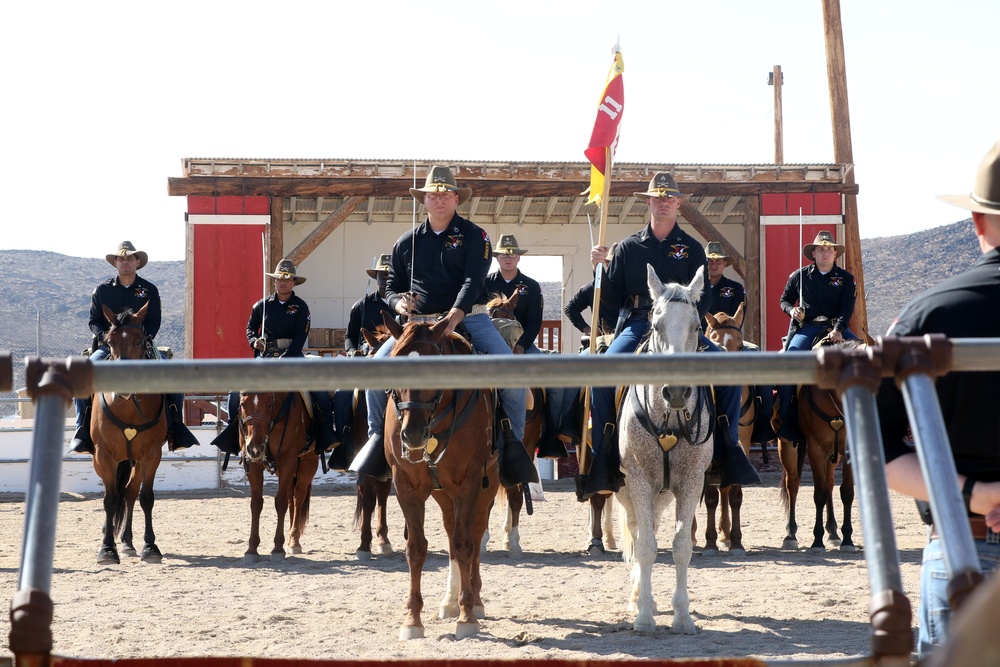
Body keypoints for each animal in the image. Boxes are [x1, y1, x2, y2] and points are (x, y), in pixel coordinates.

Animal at [91, 306, 168, 568]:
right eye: (109, 342)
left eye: (139, 341)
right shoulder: (103, 456)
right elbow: (109, 500)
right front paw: (107, 549)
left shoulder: (152, 455)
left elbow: (146, 497)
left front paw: (150, 546)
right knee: (117, 494)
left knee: (130, 492)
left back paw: (127, 542)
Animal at [238, 392, 316, 564]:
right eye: (243, 404)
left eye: (269, 405)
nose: (255, 448)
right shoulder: (252, 462)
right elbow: (256, 504)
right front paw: (252, 549)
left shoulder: (288, 460)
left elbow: (280, 503)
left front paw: (278, 548)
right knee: (291, 497)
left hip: (308, 461)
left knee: (298, 496)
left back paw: (294, 541)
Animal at [380, 316, 498, 640]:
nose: (412, 434)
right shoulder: (406, 486)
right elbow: (416, 548)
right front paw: (412, 620)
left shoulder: (470, 483)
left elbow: (465, 544)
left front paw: (468, 616)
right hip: (443, 494)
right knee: (450, 532)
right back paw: (449, 602)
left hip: (487, 486)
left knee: (473, 534)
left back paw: (475, 601)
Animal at [612, 264, 716, 636]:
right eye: (656, 326)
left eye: (697, 326)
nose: (677, 391)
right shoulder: (639, 481)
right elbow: (644, 547)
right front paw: (643, 616)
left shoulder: (691, 483)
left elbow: (681, 547)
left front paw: (682, 617)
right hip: (629, 492)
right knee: (637, 532)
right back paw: (638, 598)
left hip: (662, 495)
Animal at [772, 340, 860, 552]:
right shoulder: (815, 449)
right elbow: (818, 493)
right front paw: (817, 540)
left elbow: (846, 492)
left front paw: (847, 539)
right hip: (786, 446)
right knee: (793, 484)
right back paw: (790, 534)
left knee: (829, 483)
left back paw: (833, 532)